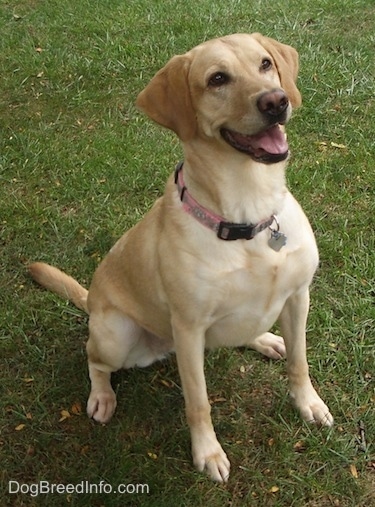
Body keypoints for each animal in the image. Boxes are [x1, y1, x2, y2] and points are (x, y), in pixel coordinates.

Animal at [30, 33, 334, 482]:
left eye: (264, 64)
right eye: (217, 79)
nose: (276, 100)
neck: (248, 212)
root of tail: (92, 299)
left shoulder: (298, 297)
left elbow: (300, 362)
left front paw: (308, 404)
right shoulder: (189, 329)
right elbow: (198, 402)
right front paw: (207, 453)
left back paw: (265, 339)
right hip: (117, 335)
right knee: (93, 358)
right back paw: (102, 396)